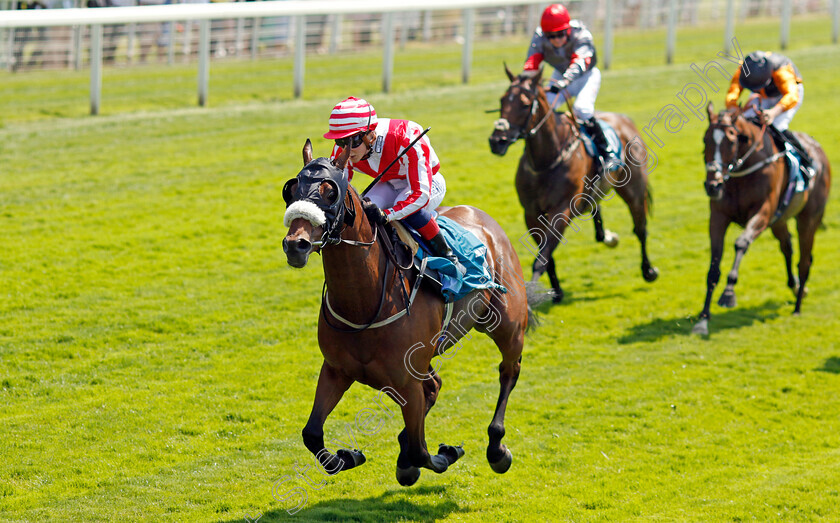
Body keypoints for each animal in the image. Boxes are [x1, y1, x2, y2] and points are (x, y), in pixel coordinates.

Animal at [282, 140, 544, 488]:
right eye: (291, 189)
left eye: (329, 192)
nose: (295, 244)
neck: (364, 302)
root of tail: (483, 217)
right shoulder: (338, 370)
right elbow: (312, 433)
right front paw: (348, 456)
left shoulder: (406, 380)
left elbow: (422, 450)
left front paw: (445, 453)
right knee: (435, 385)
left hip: (508, 325)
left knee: (508, 371)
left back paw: (496, 448)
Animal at [488, 65, 660, 302]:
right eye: (503, 99)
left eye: (524, 103)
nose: (497, 141)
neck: (547, 160)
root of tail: (624, 120)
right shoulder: (531, 213)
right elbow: (547, 255)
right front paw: (556, 291)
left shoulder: (562, 210)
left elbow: (543, 257)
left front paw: (532, 296)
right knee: (599, 218)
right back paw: (608, 237)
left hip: (633, 188)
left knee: (640, 228)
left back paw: (648, 270)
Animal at [692, 102, 832, 336]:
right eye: (705, 140)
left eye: (731, 140)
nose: (713, 185)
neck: (742, 172)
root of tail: (818, 149)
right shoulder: (719, 218)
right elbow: (713, 266)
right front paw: (703, 319)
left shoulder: (763, 213)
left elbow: (741, 243)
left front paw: (728, 293)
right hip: (780, 220)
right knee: (787, 247)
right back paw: (796, 288)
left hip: (808, 218)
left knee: (804, 260)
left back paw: (797, 307)